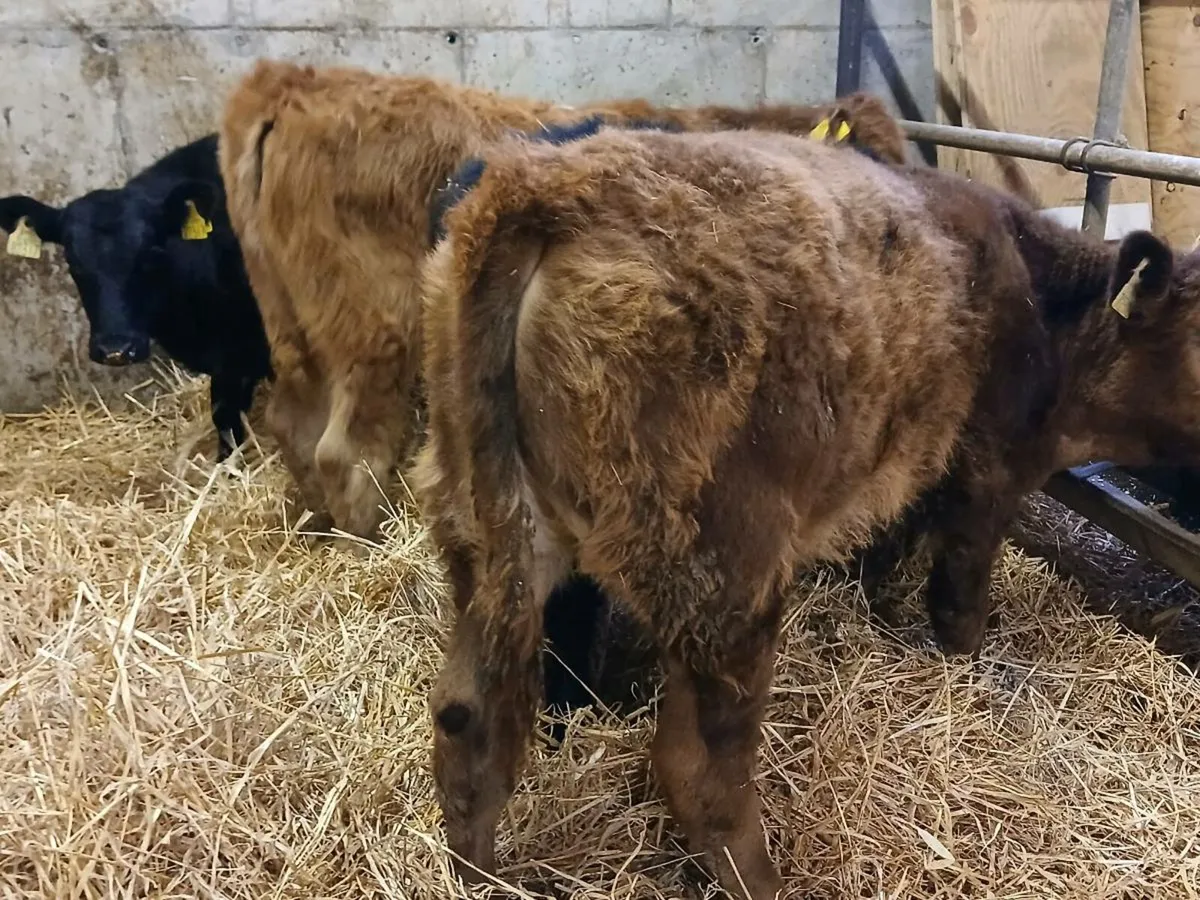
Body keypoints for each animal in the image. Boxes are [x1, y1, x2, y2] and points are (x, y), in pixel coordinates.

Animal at [410, 124, 1200, 897]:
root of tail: (541, 184)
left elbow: (889, 557)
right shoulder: (988, 471)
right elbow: (960, 598)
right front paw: (970, 671)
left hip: (491, 529)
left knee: (466, 715)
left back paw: (478, 876)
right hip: (725, 567)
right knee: (697, 768)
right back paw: (761, 879)